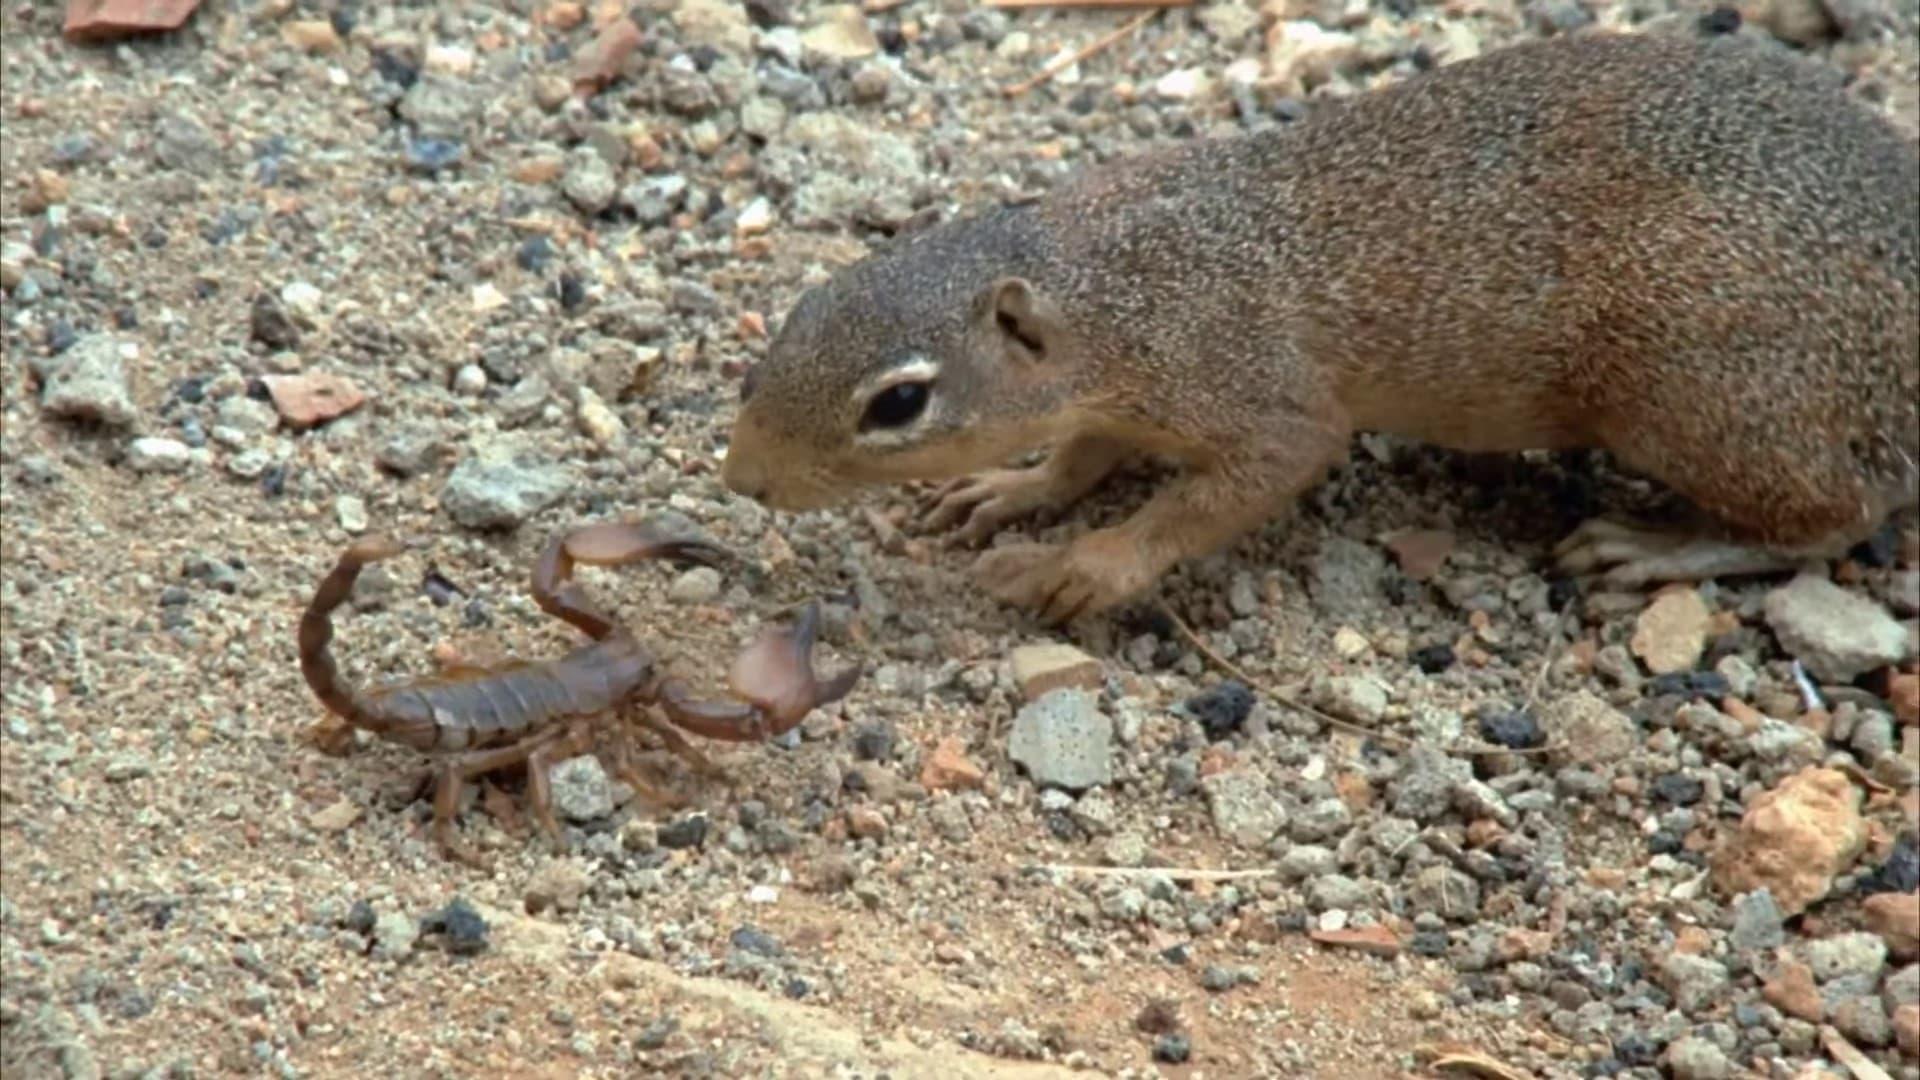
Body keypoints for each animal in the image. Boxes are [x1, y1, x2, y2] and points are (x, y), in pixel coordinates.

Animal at [721, 29, 1920, 622]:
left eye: (899, 402)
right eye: (796, 317)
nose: (745, 481)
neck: (1107, 277)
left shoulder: (1251, 389)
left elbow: (1237, 484)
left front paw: (1086, 567)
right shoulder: (1123, 395)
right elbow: (1082, 454)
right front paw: (1013, 489)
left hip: (1700, 397)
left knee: (1834, 517)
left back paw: (1657, 546)